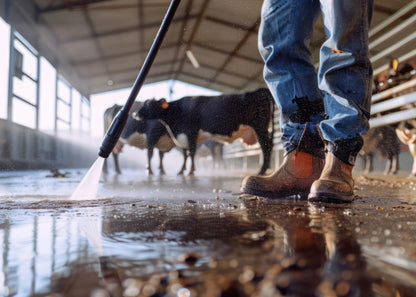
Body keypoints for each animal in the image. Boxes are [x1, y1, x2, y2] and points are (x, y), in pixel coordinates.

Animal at [136, 88, 274, 176]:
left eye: (148, 105)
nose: (134, 114)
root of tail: (260, 90)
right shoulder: (184, 136)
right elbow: (186, 153)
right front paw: (182, 171)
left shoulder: (191, 132)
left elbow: (191, 152)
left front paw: (190, 171)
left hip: (259, 126)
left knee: (266, 147)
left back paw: (262, 171)